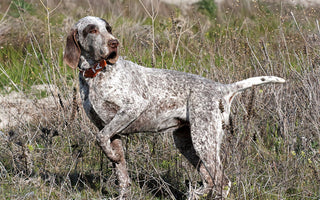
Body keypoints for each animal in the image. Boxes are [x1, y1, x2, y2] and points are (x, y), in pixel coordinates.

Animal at [63, 16, 284, 198]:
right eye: (92, 30)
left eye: (108, 29)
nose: (114, 42)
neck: (95, 74)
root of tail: (222, 88)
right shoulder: (111, 130)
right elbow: (121, 172)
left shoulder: (132, 107)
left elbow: (100, 139)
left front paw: (111, 155)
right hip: (186, 141)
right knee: (209, 180)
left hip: (204, 140)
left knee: (222, 182)